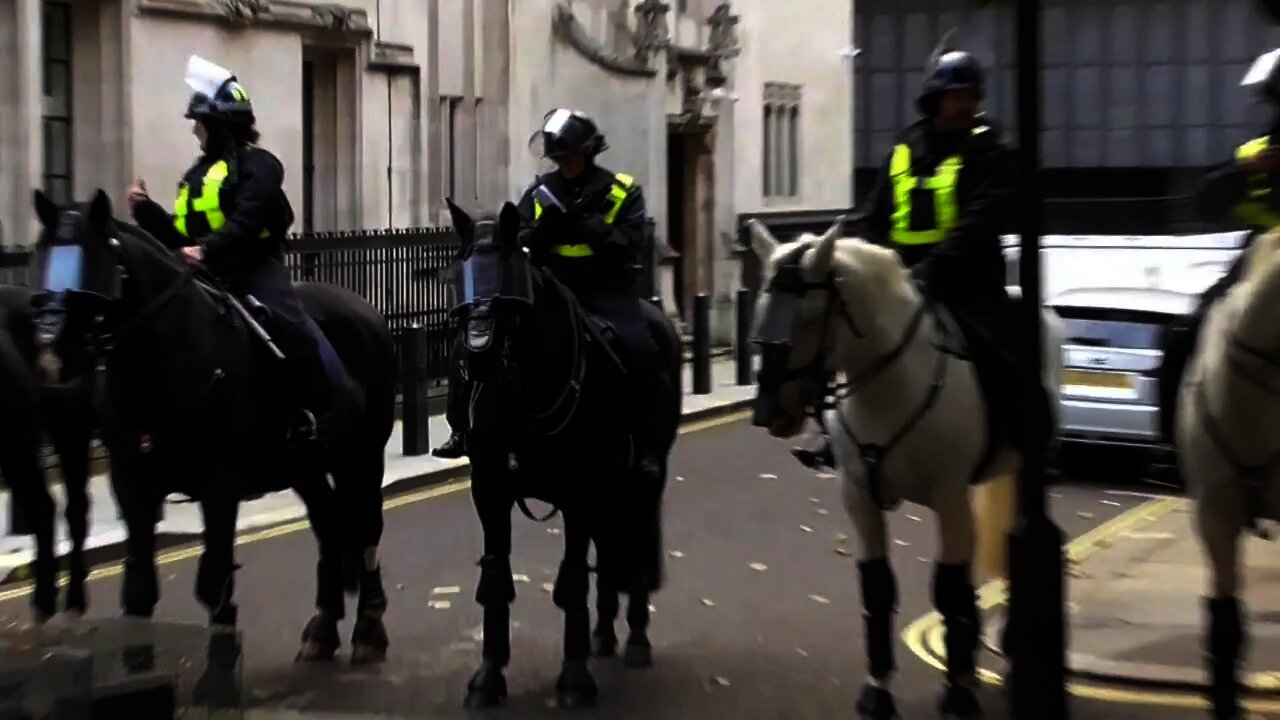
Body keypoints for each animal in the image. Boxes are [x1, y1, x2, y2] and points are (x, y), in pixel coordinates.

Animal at [32, 189, 396, 661]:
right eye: (41, 256)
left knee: (366, 527)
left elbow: (214, 583)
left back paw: (369, 627)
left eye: (93, 259)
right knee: (328, 522)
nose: (51, 360)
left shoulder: (219, 485)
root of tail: (367, 310)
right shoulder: (133, 485)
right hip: (306, 465)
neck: (157, 365)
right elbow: (139, 592)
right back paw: (323, 626)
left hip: (362, 455)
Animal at [440, 197, 680, 707]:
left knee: (634, 542)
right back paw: (604, 634)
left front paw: (574, 678)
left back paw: (635, 638)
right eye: (460, 271)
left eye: (511, 274)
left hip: (639, 479)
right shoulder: (490, 488)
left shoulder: (579, 490)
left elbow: (571, 581)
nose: (478, 355)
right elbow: (496, 578)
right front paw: (488, 676)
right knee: (608, 551)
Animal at [747, 220, 1064, 717]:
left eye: (810, 315)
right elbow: (876, 586)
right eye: (760, 307)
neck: (890, 384)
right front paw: (878, 687)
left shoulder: (950, 498)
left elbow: (949, 587)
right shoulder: (858, 496)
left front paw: (957, 692)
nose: (770, 414)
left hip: (1025, 469)